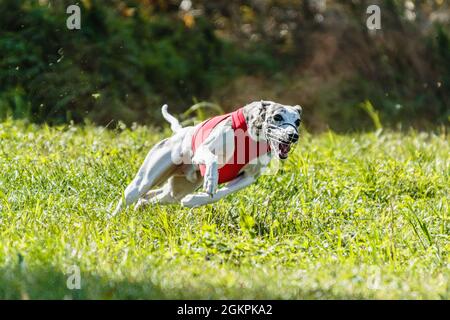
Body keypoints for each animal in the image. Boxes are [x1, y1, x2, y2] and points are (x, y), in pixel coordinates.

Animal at [112, 100, 302, 215]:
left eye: (298, 121)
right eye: (277, 116)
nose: (293, 135)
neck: (252, 137)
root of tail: (180, 132)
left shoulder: (248, 177)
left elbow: (220, 194)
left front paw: (194, 200)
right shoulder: (203, 150)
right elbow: (212, 160)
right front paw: (211, 180)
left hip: (178, 190)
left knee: (153, 197)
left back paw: (141, 206)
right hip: (145, 179)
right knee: (130, 196)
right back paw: (112, 218)